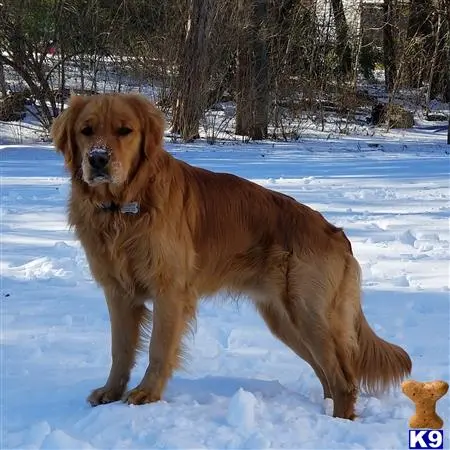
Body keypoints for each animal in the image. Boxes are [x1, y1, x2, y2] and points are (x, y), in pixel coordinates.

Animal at [51, 93, 414, 420]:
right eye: (86, 130)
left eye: (125, 130)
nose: (98, 159)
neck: (122, 208)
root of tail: (336, 232)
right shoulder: (119, 293)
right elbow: (120, 350)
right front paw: (111, 392)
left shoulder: (170, 292)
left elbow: (158, 349)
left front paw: (147, 394)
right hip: (285, 321)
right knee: (328, 375)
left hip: (308, 313)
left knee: (344, 379)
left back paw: (338, 423)